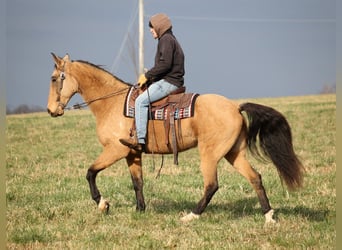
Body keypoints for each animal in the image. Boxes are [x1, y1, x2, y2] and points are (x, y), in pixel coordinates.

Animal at [46, 52, 304, 223]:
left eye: (54, 78)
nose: (50, 110)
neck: (112, 104)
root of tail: (235, 107)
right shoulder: (132, 153)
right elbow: (137, 183)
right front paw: (140, 210)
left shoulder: (115, 150)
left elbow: (90, 173)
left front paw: (102, 204)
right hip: (233, 153)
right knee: (255, 178)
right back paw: (269, 216)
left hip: (210, 154)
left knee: (212, 185)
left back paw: (192, 215)